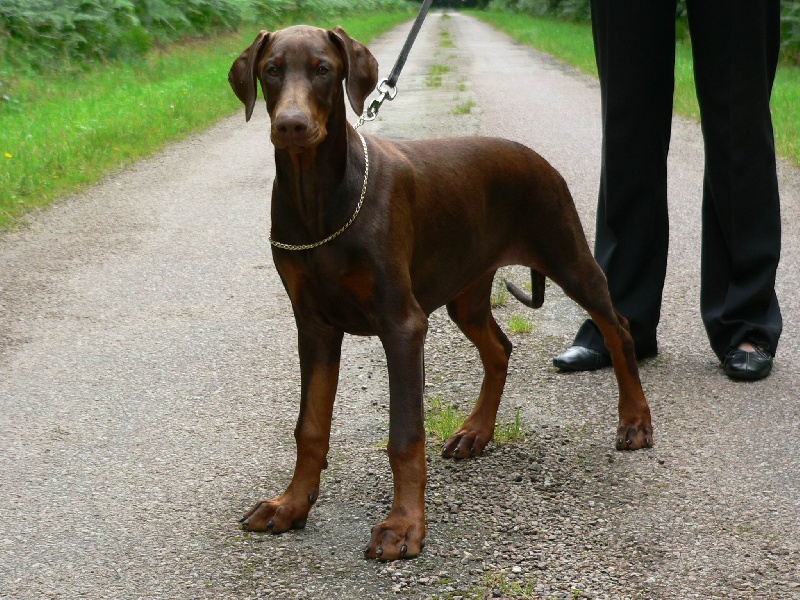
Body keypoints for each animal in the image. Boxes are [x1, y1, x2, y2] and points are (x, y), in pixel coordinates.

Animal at [228, 24, 652, 564]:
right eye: (271, 69)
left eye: (323, 69)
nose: (292, 126)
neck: (319, 201)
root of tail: (533, 156)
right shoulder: (314, 326)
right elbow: (310, 426)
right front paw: (291, 504)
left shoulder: (401, 324)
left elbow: (405, 436)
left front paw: (404, 525)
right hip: (465, 292)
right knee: (499, 347)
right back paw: (476, 433)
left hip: (568, 256)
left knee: (617, 328)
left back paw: (635, 421)